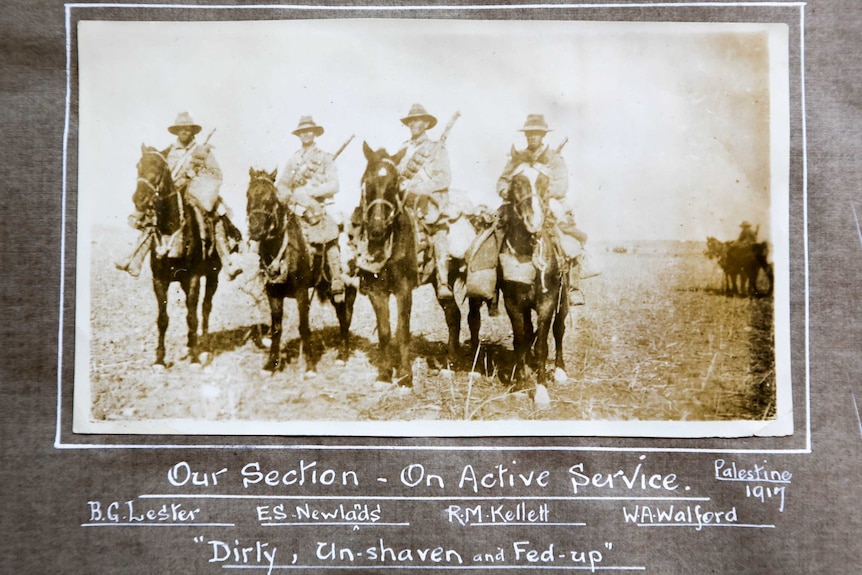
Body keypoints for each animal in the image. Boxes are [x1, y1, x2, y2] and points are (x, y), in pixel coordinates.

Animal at [132, 146, 224, 366]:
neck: (170, 226)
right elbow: (162, 319)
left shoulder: (193, 278)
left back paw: (203, 344)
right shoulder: (159, 280)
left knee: (205, 308)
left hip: (213, 275)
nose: (139, 199)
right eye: (138, 166)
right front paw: (159, 359)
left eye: (159, 168)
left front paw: (195, 357)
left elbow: (192, 316)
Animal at [245, 168, 356, 374]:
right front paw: (271, 364)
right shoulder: (272, 292)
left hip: (343, 287)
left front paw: (310, 366)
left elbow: (304, 327)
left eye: (271, 197)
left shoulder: (302, 292)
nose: (255, 229)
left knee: (343, 316)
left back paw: (342, 355)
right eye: (248, 194)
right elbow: (276, 328)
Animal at [354, 143, 466, 388]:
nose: (377, 229)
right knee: (453, 314)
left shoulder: (403, 290)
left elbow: (402, 331)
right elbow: (385, 332)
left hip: (445, 279)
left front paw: (405, 376)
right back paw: (451, 360)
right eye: (366, 181)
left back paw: (452, 361)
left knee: (453, 315)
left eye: (395, 184)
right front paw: (385, 374)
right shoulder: (377, 292)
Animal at [496, 156, 572, 392]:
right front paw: (521, 380)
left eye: (546, 185)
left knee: (559, 329)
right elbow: (520, 339)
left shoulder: (547, 301)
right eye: (517, 184)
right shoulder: (513, 302)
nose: (534, 221)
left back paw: (559, 369)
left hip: (563, 299)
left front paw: (541, 383)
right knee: (530, 332)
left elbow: (542, 344)